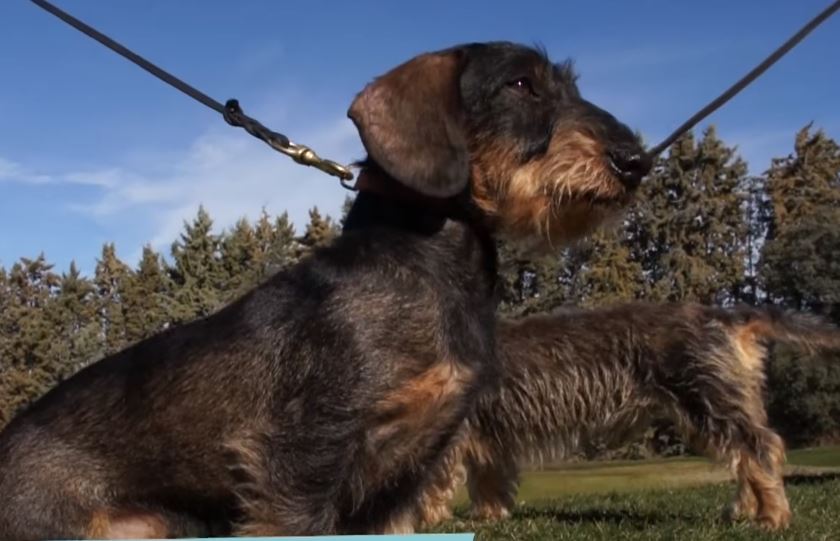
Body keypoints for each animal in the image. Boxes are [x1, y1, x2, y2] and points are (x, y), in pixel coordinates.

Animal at [420, 302, 840, 528]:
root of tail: (722, 315)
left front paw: (429, 520)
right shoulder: (488, 438)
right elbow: (488, 479)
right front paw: (487, 516)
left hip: (710, 403)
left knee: (761, 449)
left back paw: (773, 516)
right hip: (723, 405)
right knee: (745, 458)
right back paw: (745, 509)